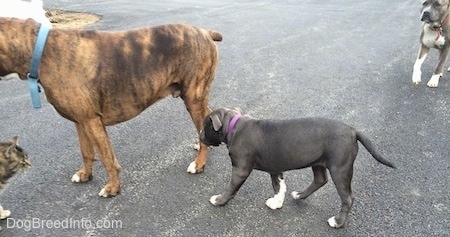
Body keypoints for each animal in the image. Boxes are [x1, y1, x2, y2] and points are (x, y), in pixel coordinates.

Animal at [0, 17, 221, 197]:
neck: (39, 49)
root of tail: (205, 31)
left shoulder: (92, 122)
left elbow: (107, 158)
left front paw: (113, 188)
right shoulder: (80, 122)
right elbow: (87, 152)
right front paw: (85, 175)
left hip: (193, 98)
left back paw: (199, 163)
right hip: (195, 99)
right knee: (209, 116)